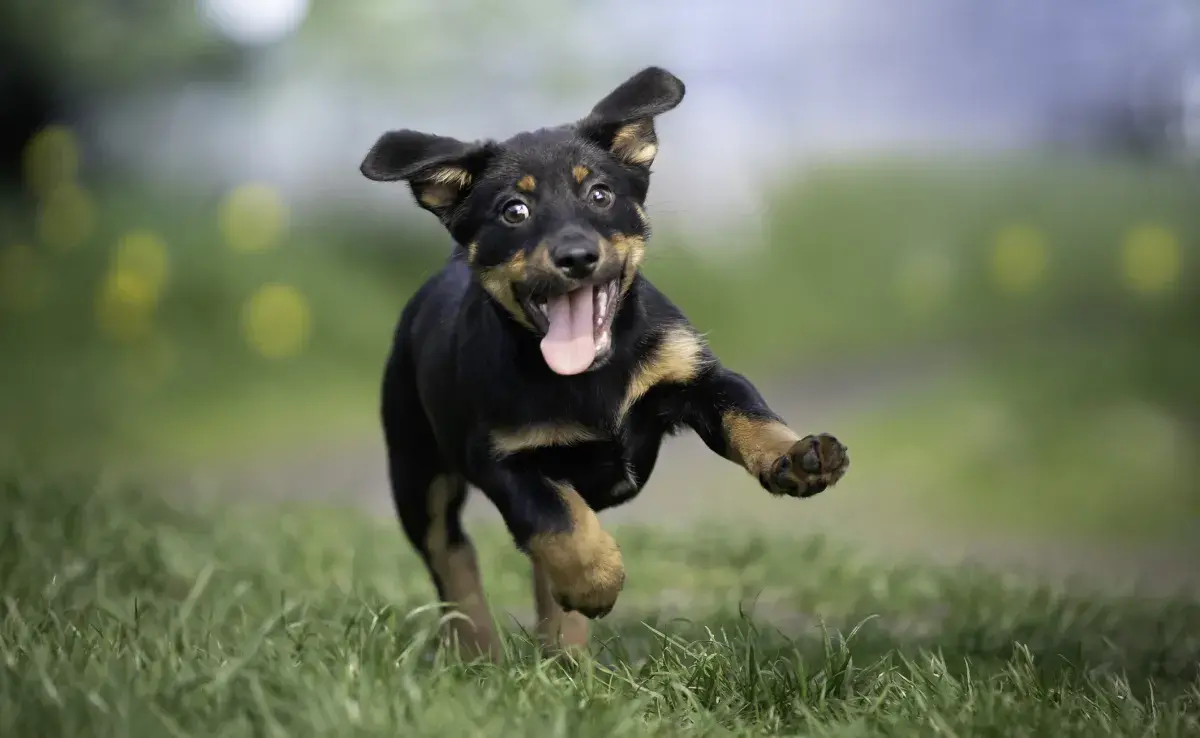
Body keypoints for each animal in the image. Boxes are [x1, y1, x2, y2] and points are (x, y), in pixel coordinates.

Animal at [360, 66, 849, 662]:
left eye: (600, 194)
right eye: (513, 211)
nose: (576, 257)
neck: (589, 374)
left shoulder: (699, 378)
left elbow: (750, 416)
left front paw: (797, 457)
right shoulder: (501, 456)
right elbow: (557, 519)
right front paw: (596, 580)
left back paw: (564, 654)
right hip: (415, 469)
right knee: (451, 558)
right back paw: (481, 649)